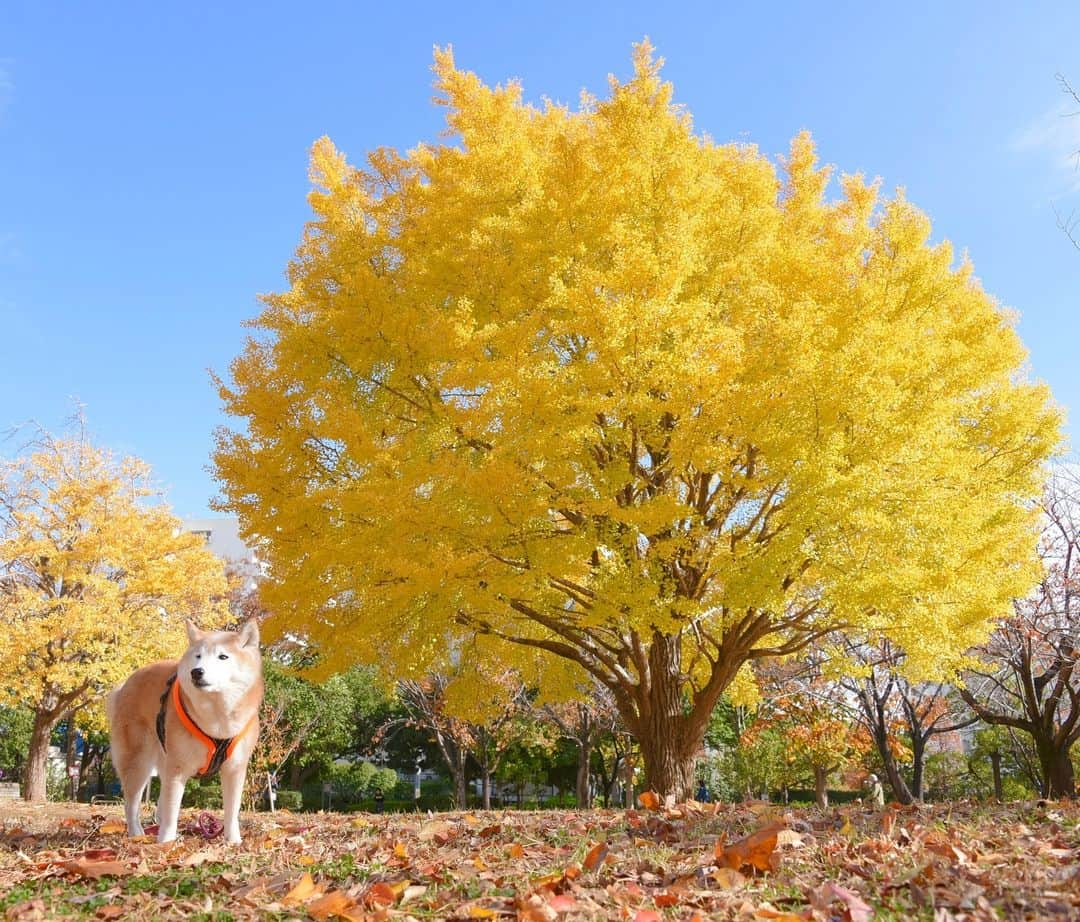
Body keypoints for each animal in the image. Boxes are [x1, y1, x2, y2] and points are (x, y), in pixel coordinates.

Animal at [106, 621, 263, 846]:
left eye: (223, 657)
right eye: (198, 656)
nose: (197, 672)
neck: (218, 720)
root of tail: (123, 686)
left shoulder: (235, 768)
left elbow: (232, 811)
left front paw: (233, 841)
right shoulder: (178, 768)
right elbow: (172, 810)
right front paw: (166, 843)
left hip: (162, 759)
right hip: (138, 762)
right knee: (132, 804)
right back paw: (137, 834)